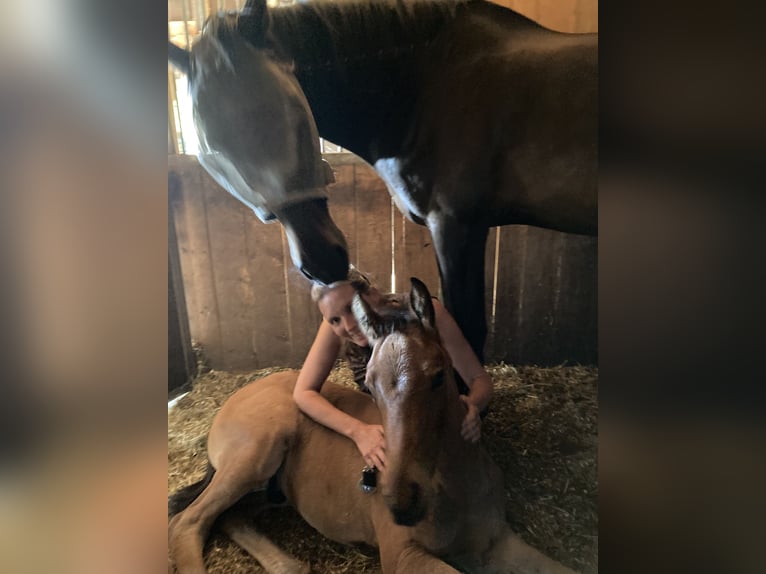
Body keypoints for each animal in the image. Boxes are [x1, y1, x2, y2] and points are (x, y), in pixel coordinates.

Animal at [167, 0, 598, 360]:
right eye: (214, 154)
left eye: (295, 114)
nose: (323, 261)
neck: (423, 86)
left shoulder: (456, 226)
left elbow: (466, 328)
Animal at [168, 277, 577, 574]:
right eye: (369, 382)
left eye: (439, 376)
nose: (401, 503)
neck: (454, 488)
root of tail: (240, 394)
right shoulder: (402, 555)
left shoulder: (499, 540)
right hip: (256, 454)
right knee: (189, 522)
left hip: (270, 489)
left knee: (230, 517)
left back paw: (290, 566)